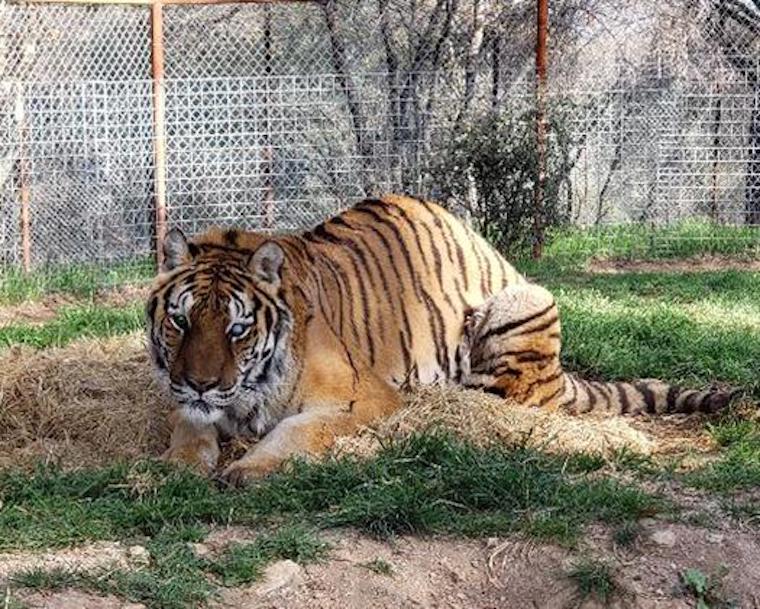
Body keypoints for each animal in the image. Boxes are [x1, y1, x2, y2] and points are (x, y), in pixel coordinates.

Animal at [146, 195, 735, 484]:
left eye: (237, 328)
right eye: (181, 321)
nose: (200, 384)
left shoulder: (365, 399)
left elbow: (299, 431)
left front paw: (249, 468)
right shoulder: (185, 398)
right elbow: (188, 428)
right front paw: (175, 467)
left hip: (524, 301)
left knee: (501, 401)